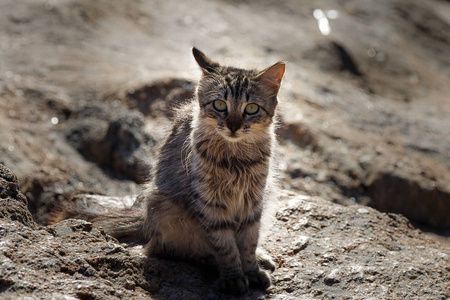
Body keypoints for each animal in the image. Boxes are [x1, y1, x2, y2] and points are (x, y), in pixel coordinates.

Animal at [52, 48, 284, 294]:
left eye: (251, 108)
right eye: (220, 105)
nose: (233, 126)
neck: (236, 159)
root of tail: (145, 219)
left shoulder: (254, 200)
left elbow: (249, 242)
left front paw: (252, 270)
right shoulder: (211, 204)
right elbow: (225, 246)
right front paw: (233, 277)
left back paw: (261, 257)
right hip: (167, 210)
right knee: (170, 249)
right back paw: (211, 261)